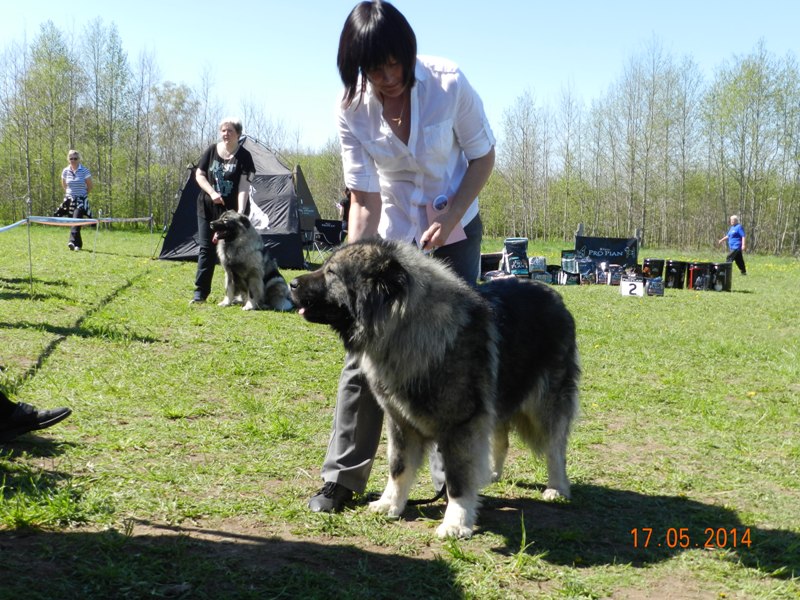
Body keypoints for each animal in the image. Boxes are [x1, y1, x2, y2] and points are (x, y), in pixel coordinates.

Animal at [290, 239, 580, 540]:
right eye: (324, 267)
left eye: (331, 273)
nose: (292, 283)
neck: (407, 328)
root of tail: (555, 297)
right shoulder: (400, 422)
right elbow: (398, 467)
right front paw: (390, 504)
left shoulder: (460, 426)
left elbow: (457, 480)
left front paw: (456, 521)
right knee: (502, 439)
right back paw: (491, 474)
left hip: (544, 404)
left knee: (555, 447)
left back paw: (556, 487)